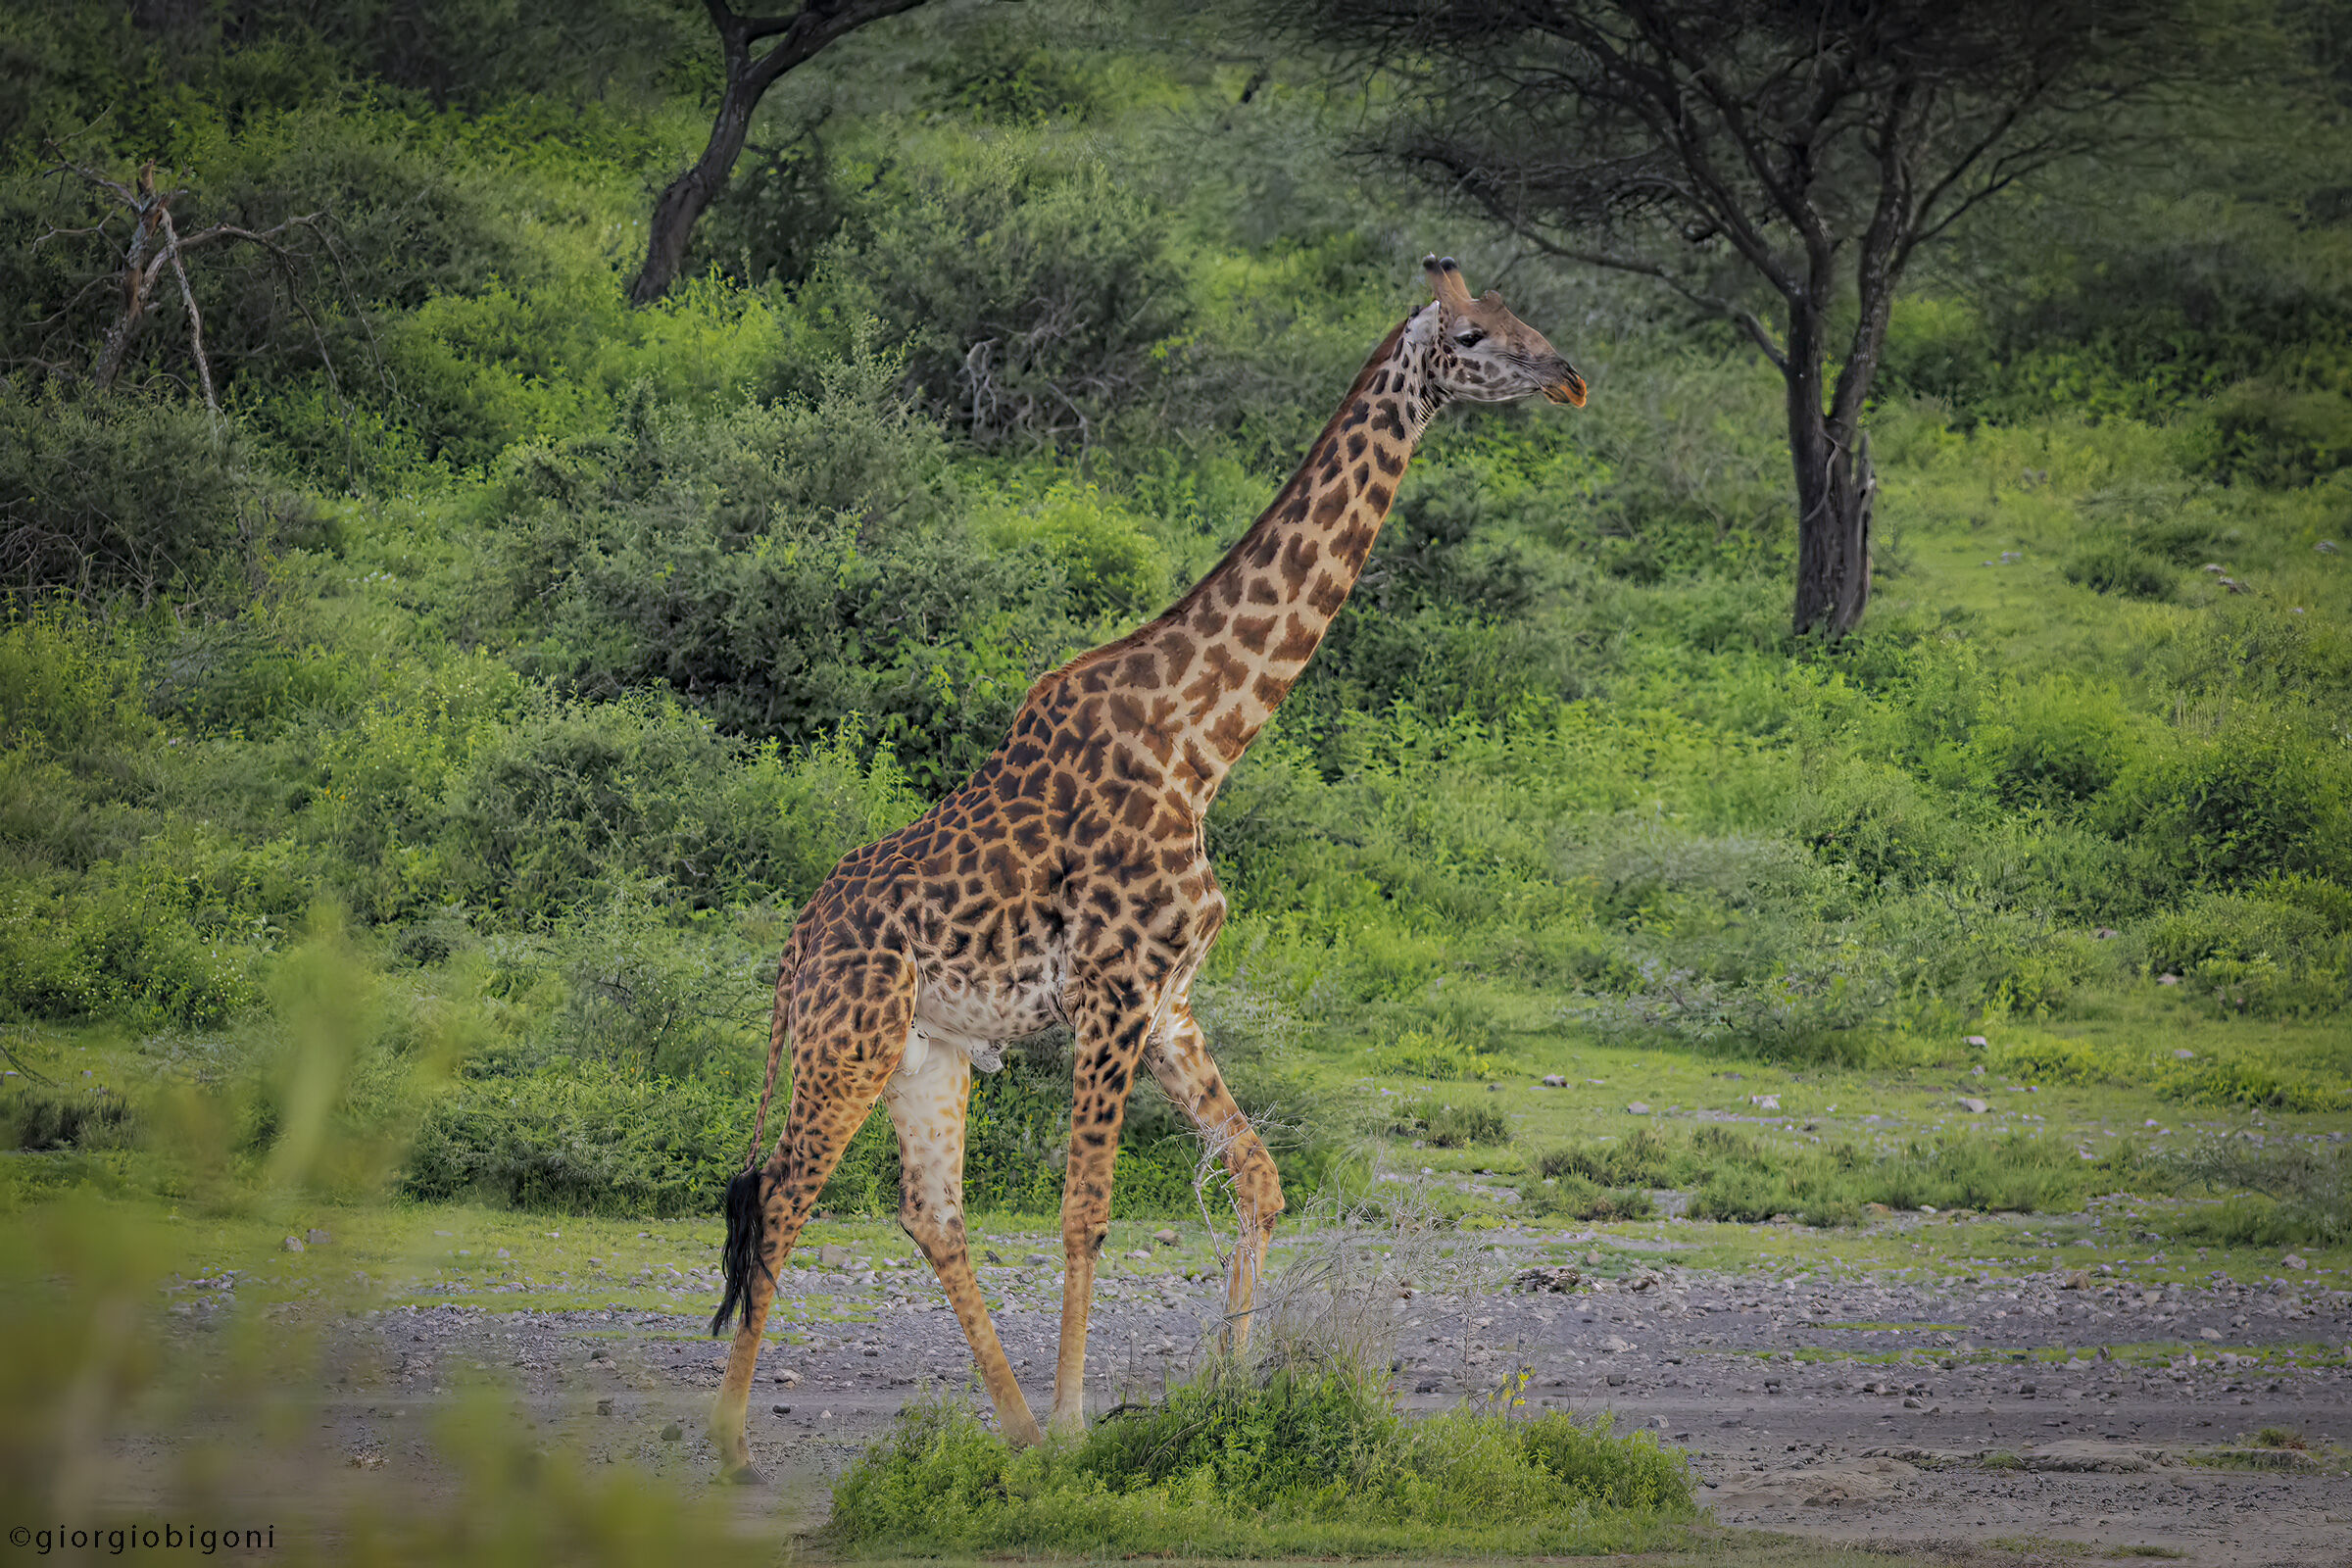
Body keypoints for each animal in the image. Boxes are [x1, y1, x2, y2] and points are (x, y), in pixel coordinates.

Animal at [705, 255, 1585, 1479]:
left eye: (1519, 316)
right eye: (1472, 335)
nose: (1570, 380)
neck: (1206, 741)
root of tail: (792, 952)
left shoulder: (1169, 999)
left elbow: (1259, 1179)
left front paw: (1223, 1391)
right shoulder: (1113, 988)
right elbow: (1087, 1210)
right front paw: (1085, 1424)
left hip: (929, 1052)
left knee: (931, 1213)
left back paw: (1013, 1426)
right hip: (852, 1038)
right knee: (784, 1193)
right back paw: (736, 1440)